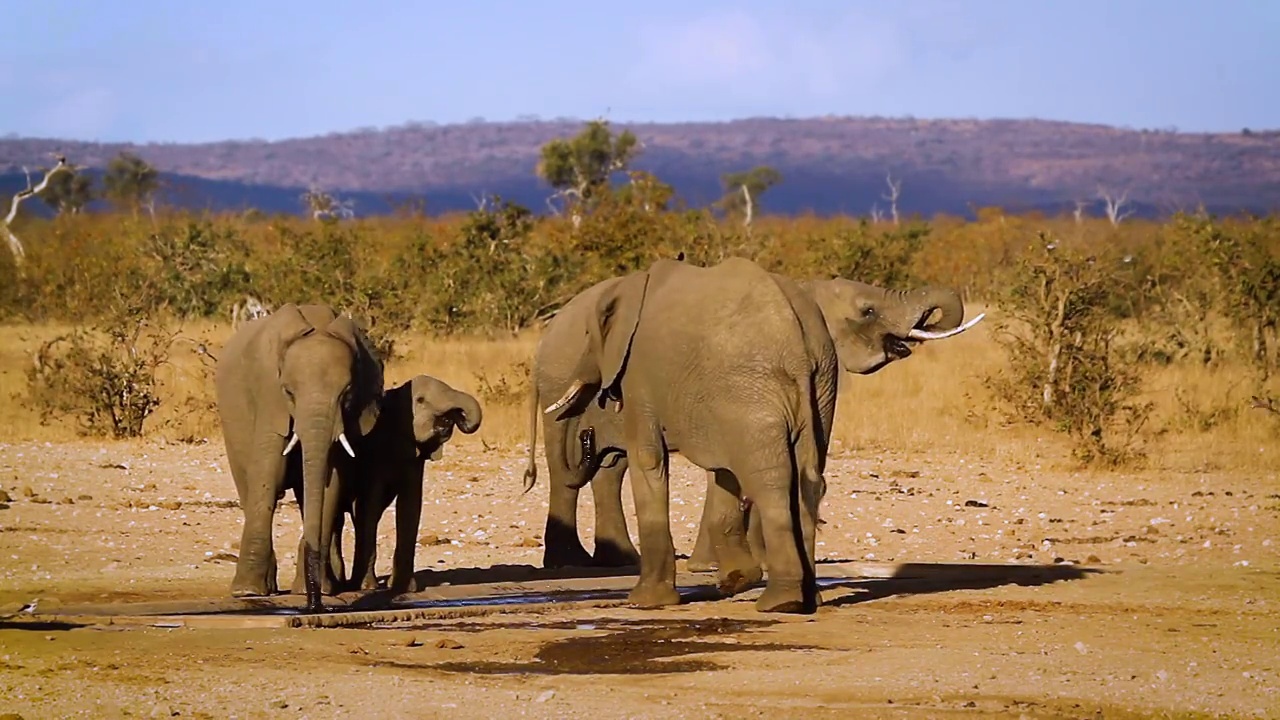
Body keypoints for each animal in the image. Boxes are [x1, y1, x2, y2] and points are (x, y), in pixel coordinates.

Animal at [215, 302, 381, 609]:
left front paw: (314, 589)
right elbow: (269, 471)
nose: (314, 605)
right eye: (288, 392)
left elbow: (331, 483)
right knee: (247, 486)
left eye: (347, 393)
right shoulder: (269, 397)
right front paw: (248, 592)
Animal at [337, 371, 481, 591]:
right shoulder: (373, 454)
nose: (450, 420)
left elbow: (410, 506)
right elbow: (369, 506)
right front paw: (367, 588)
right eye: (420, 400)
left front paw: (403, 588)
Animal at [524, 271, 983, 568]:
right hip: (560, 385)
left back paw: (616, 561)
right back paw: (569, 565)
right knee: (565, 470)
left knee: (608, 468)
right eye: (868, 311)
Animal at [529, 254, 839, 607]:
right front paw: (736, 581)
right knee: (807, 478)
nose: (587, 437)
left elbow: (648, 458)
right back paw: (808, 599)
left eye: (587, 334)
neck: (632, 285)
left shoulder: (639, 373)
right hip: (820, 385)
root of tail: (798, 351)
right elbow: (722, 471)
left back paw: (781, 602)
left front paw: (646, 602)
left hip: (752, 387)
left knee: (772, 480)